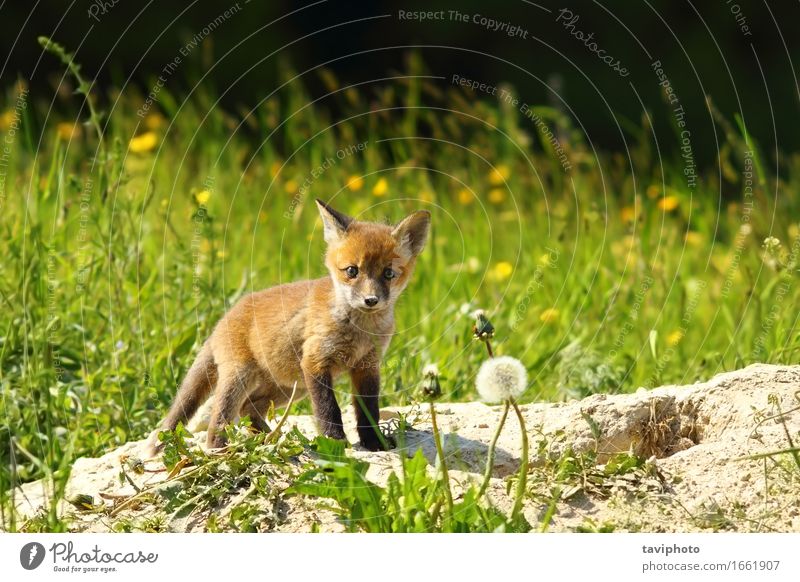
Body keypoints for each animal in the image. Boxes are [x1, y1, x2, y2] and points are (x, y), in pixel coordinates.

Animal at [147, 203, 428, 454]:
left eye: (388, 274)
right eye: (352, 271)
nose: (371, 300)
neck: (360, 331)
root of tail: (222, 319)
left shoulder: (367, 366)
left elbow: (368, 411)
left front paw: (373, 443)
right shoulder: (315, 362)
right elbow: (329, 409)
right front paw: (335, 442)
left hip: (289, 387)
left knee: (249, 408)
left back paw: (268, 438)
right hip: (241, 377)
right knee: (220, 418)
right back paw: (220, 450)